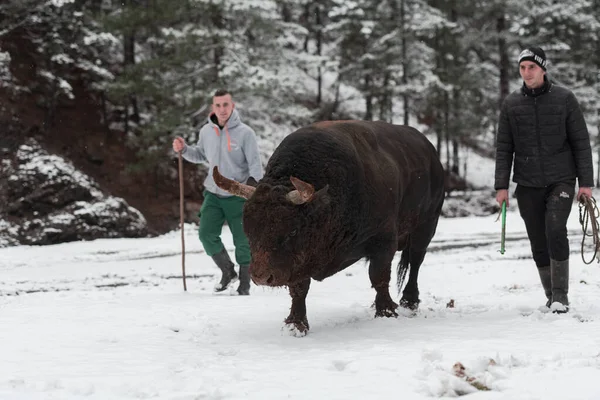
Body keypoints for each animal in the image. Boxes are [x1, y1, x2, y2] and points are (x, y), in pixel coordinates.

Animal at [213, 120, 442, 336]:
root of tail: (430, 152)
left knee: (416, 261)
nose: (261, 276)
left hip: (425, 227)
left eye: (292, 230)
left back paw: (409, 302)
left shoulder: (383, 241)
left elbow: (379, 277)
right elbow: (299, 288)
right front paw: (296, 324)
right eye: (248, 229)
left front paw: (386, 311)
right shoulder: (301, 259)